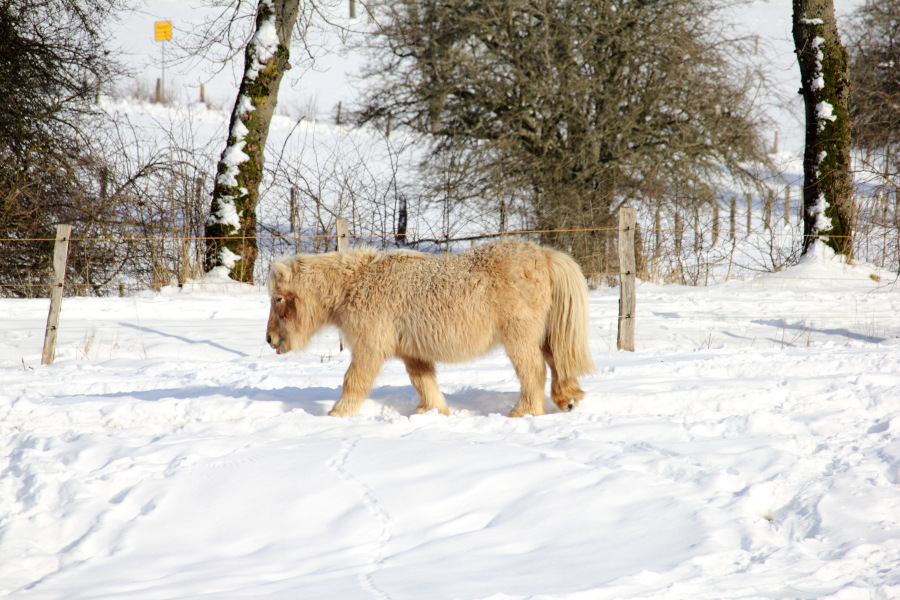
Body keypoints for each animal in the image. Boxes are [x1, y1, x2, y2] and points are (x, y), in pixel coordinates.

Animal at [265, 239, 594, 417]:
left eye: (278, 298)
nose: (270, 339)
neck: (355, 284)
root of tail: (544, 254)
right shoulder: (413, 352)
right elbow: (424, 382)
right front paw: (433, 412)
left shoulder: (370, 349)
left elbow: (353, 381)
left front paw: (337, 413)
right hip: (545, 336)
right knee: (557, 364)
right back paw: (567, 400)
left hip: (520, 338)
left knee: (534, 372)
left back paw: (523, 412)